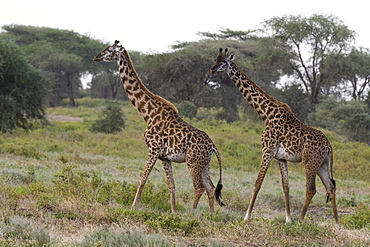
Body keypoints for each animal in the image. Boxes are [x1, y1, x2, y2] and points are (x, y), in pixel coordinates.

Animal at [94, 40, 224, 212]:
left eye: (109, 50)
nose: (96, 57)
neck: (147, 113)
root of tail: (212, 146)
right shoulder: (164, 157)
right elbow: (171, 185)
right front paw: (173, 212)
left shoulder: (153, 149)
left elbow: (143, 179)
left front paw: (133, 206)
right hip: (205, 164)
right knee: (210, 187)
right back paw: (211, 215)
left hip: (193, 162)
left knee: (199, 187)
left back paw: (192, 213)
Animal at [210, 47, 340, 224]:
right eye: (215, 60)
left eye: (224, 62)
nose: (212, 70)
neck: (266, 114)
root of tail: (329, 146)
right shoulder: (281, 158)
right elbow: (286, 187)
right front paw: (288, 220)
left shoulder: (267, 151)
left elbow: (257, 183)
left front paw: (246, 217)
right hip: (322, 164)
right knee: (330, 187)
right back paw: (337, 224)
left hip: (309, 162)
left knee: (311, 189)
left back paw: (301, 220)